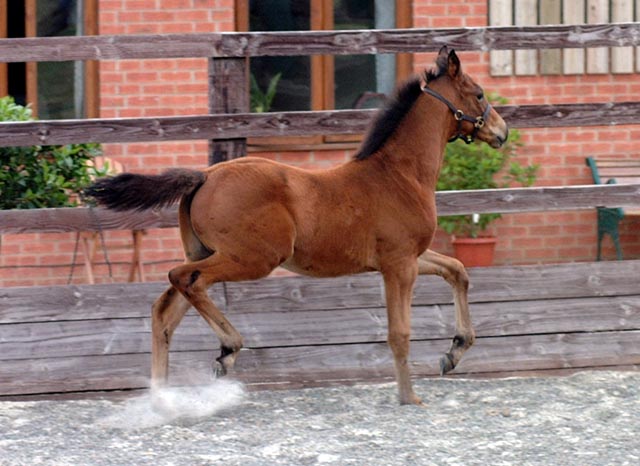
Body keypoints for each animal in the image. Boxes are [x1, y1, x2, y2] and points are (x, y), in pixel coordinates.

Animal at [86, 46, 508, 405]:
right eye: (479, 94)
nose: (502, 131)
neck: (399, 175)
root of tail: (204, 176)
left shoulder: (407, 257)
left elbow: (458, 270)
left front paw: (454, 352)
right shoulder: (399, 264)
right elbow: (399, 332)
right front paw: (409, 397)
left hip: (209, 252)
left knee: (165, 311)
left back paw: (161, 399)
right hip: (253, 258)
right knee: (184, 278)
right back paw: (227, 350)